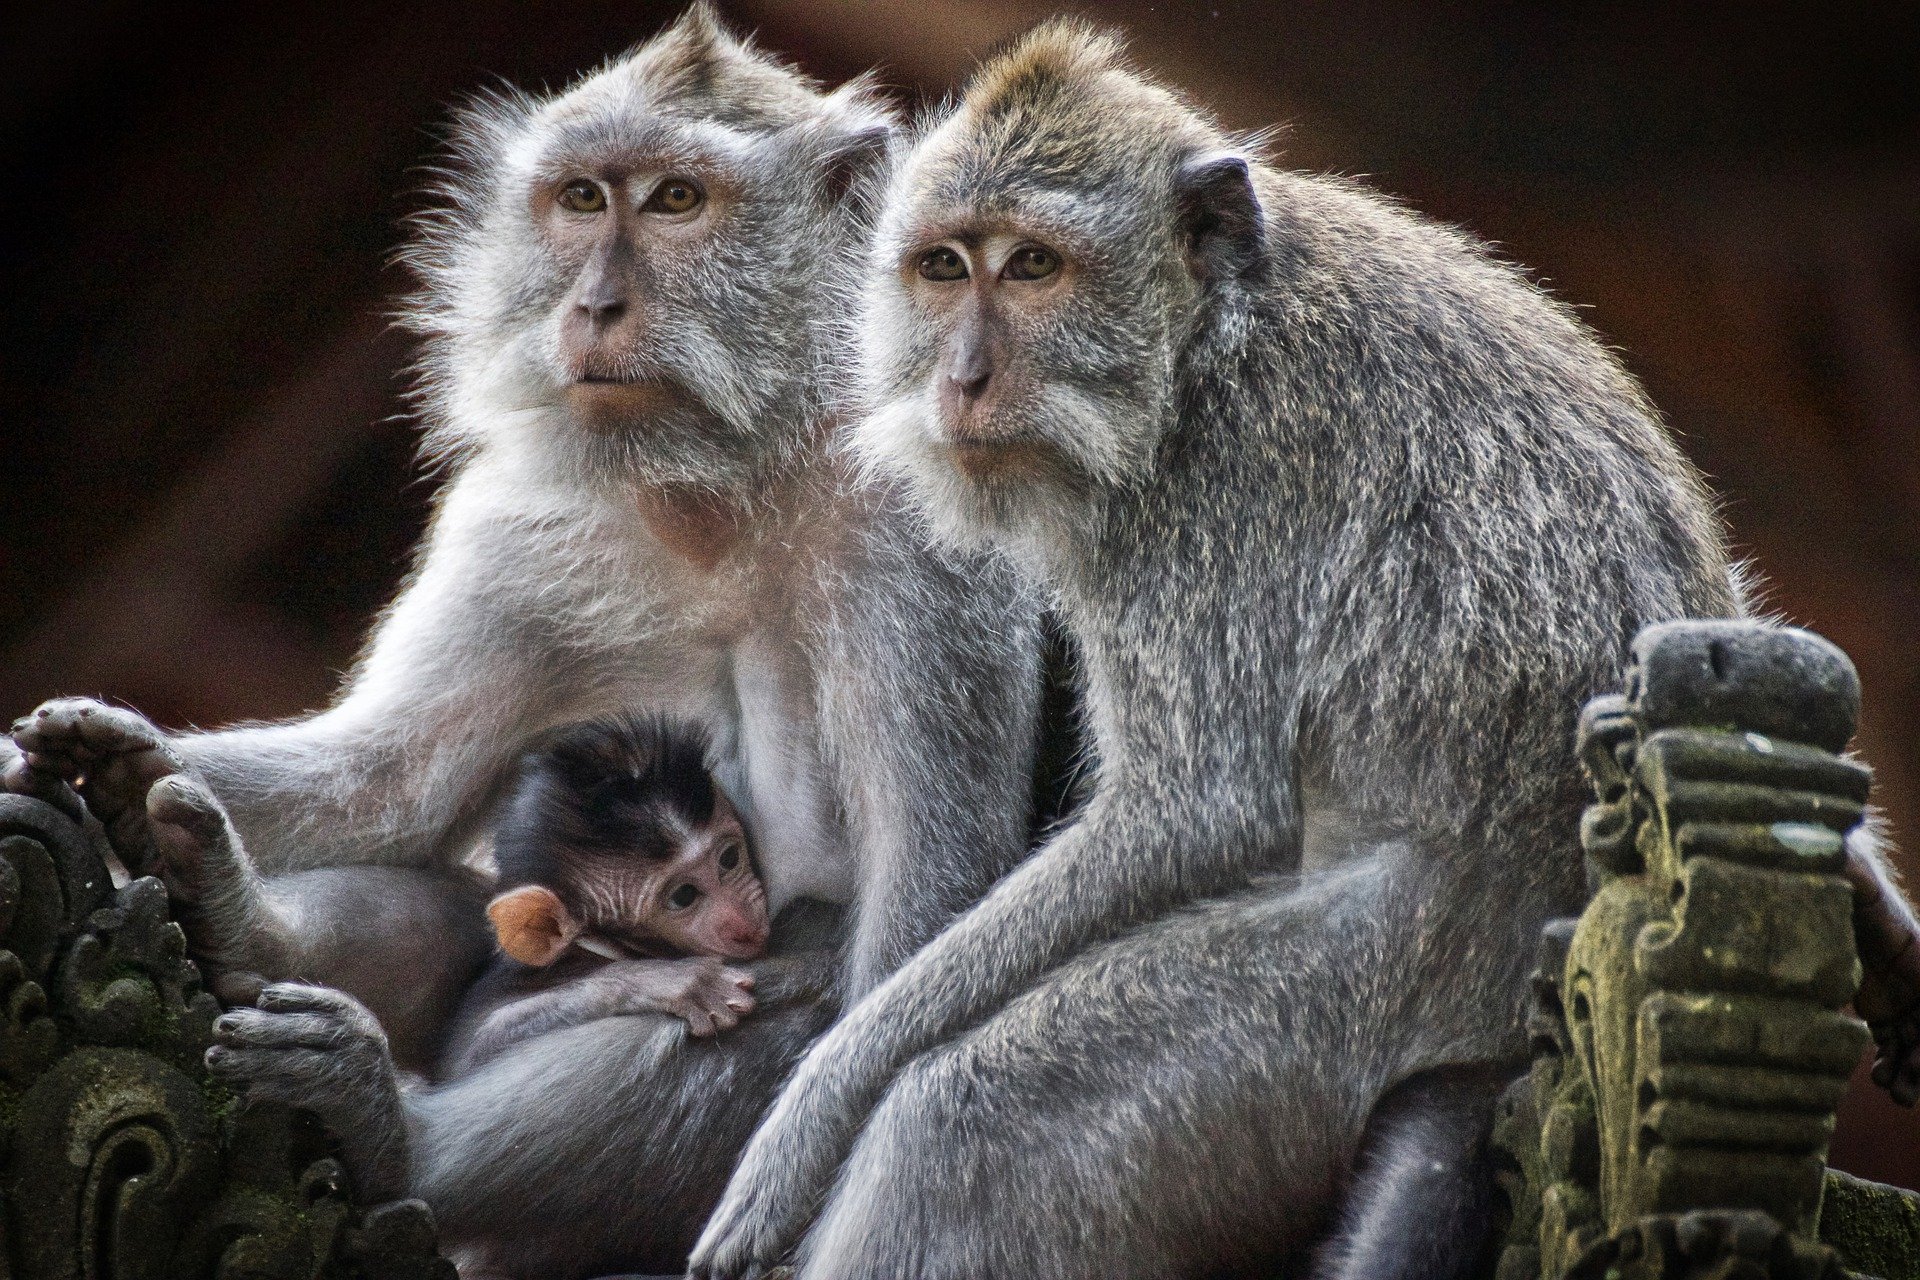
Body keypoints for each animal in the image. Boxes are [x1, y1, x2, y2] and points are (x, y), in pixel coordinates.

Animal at [6, 6, 1043, 1264]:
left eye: (678, 200)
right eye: (583, 199)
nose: (592, 306)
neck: (723, 479)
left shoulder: (933, 548)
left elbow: (922, 915)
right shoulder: (524, 523)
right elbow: (394, 781)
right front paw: (110, 763)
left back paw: (393, 1137)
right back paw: (248, 933)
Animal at [689, 21, 1917, 1279]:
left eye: (1033, 266)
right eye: (943, 268)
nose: (962, 377)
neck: (1204, 343)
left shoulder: (1213, 500)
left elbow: (1198, 810)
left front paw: (817, 1098)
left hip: (1341, 1013)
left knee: (961, 1129)